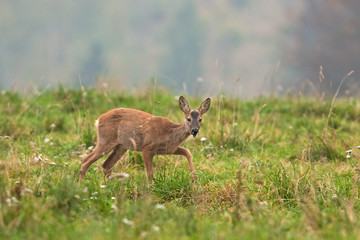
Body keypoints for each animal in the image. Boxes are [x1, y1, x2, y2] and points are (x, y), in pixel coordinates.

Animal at [79, 95, 211, 184]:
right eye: (188, 119)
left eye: (200, 119)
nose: (194, 130)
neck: (169, 132)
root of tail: (98, 120)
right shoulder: (147, 147)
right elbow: (150, 172)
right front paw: (150, 189)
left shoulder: (169, 149)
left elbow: (187, 152)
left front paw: (195, 178)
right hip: (105, 140)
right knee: (85, 161)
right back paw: (81, 186)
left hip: (121, 146)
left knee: (106, 165)